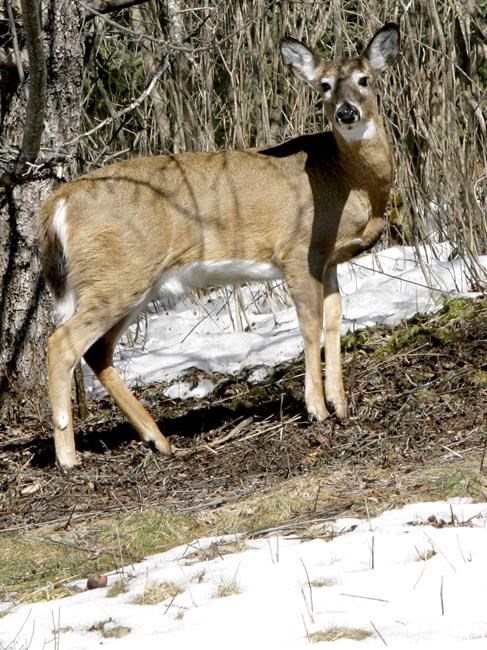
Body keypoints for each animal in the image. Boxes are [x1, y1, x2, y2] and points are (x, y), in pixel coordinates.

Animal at [38, 23, 400, 468]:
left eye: (364, 79)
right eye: (325, 85)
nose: (346, 112)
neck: (349, 180)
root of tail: (59, 202)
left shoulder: (328, 259)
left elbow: (334, 320)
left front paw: (341, 405)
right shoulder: (297, 251)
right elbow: (310, 324)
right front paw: (316, 409)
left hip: (130, 281)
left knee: (97, 352)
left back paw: (159, 439)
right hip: (116, 273)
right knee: (61, 344)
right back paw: (69, 457)